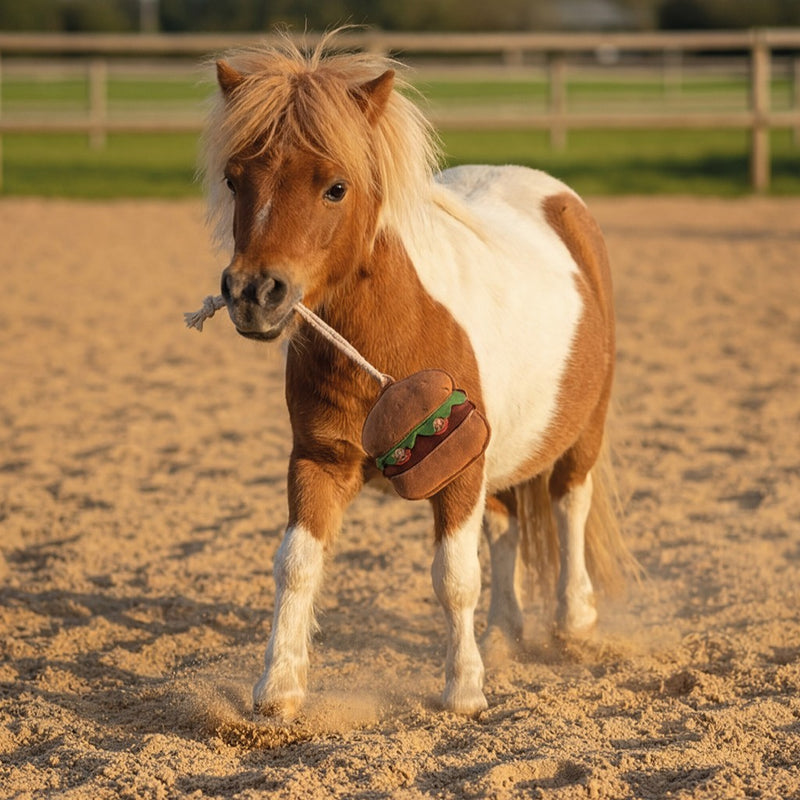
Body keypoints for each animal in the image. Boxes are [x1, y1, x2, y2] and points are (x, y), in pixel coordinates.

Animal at [200, 31, 634, 718]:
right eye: (233, 178)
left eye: (336, 186)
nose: (253, 293)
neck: (389, 343)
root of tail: (559, 199)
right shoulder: (319, 462)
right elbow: (296, 564)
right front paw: (278, 690)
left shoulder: (458, 472)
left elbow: (454, 578)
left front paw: (463, 691)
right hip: (500, 459)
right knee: (507, 527)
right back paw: (504, 636)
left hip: (582, 433)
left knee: (570, 507)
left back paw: (574, 624)